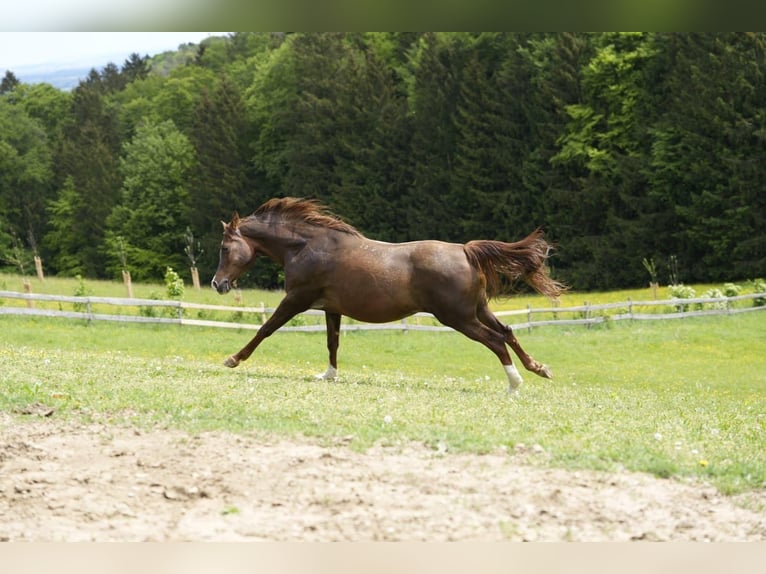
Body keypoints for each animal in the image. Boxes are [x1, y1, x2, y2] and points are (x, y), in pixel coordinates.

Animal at [211, 197, 566, 392]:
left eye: (225, 247)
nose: (217, 284)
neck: (307, 246)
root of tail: (466, 251)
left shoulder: (297, 300)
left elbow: (265, 329)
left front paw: (232, 359)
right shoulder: (331, 308)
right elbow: (332, 342)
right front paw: (329, 375)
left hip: (458, 317)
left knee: (495, 340)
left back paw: (514, 384)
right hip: (477, 310)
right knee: (507, 331)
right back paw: (540, 368)